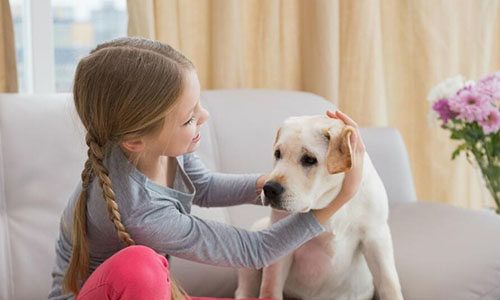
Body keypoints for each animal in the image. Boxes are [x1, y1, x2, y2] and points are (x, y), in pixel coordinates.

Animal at [234, 115, 402, 300]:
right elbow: (270, 289)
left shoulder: (377, 236)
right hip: (258, 232)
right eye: (278, 154)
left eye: (309, 159)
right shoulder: (277, 244)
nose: (269, 189)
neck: (329, 200)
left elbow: (389, 284)